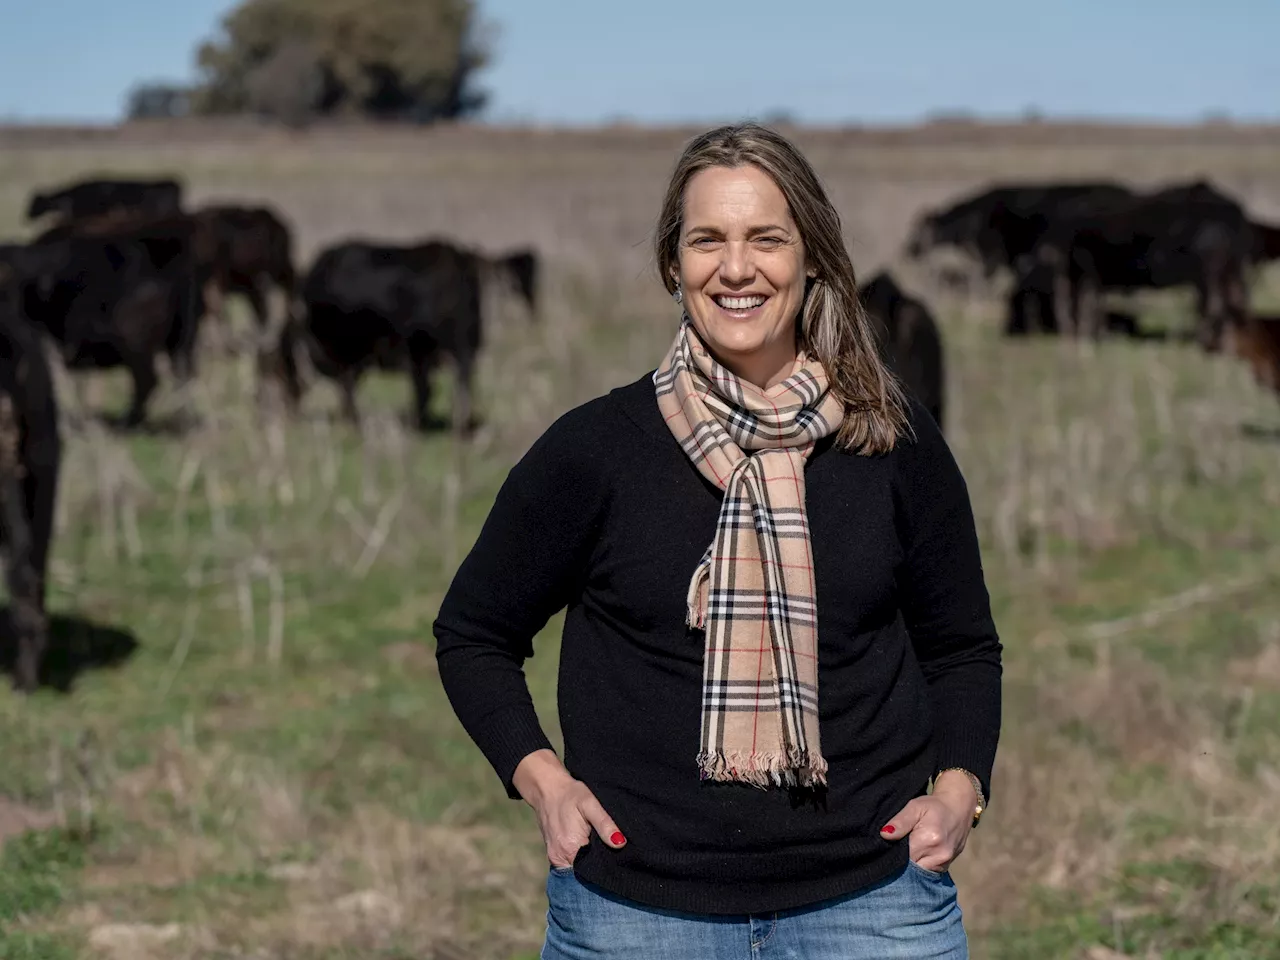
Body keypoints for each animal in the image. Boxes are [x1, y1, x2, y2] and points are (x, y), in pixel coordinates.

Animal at [267, 239, 537, 435]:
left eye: (281, 366)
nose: (286, 411)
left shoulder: (350, 353)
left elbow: (348, 388)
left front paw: (355, 422)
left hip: (437, 347)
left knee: (443, 386)